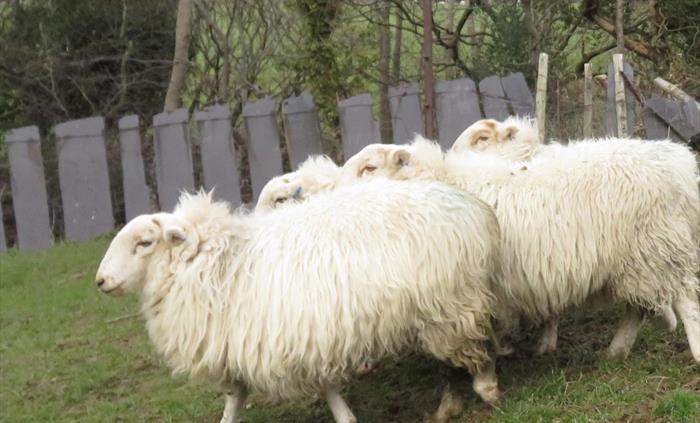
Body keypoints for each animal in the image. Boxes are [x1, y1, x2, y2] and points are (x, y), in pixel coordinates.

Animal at [95, 181, 503, 423]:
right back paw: (450, 404)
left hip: (451, 301)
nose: (100, 281)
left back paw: (486, 390)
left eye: (144, 242)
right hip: (441, 306)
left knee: (474, 348)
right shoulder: (255, 343)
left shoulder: (292, 339)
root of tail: (474, 206)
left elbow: (323, 387)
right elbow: (237, 397)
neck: (221, 264)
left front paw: (344, 417)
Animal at [339, 135, 700, 363]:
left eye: (369, 168)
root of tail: (678, 164)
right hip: (637, 259)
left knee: (685, 300)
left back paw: (693, 349)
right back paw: (618, 350)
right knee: (637, 307)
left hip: (658, 246)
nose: (333, 190)